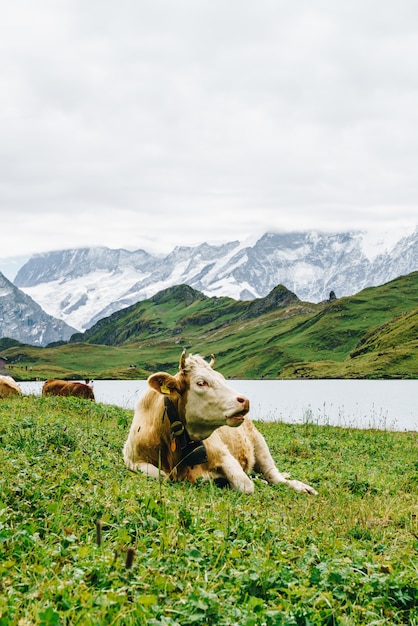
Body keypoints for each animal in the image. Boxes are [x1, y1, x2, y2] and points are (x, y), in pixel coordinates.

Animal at [123, 352, 316, 492]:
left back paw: (301, 487)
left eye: (222, 378)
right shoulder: (132, 459)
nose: (245, 400)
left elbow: (246, 486)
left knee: (274, 476)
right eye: (201, 382)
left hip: (259, 442)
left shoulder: (224, 455)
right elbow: (162, 476)